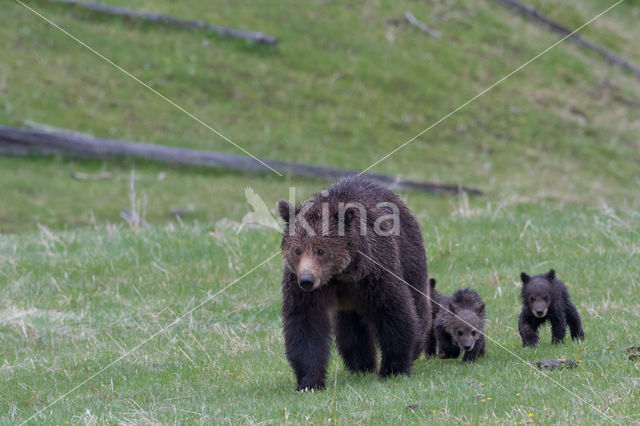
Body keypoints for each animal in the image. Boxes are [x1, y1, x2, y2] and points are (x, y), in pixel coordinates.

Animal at [276, 175, 430, 392]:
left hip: (409, 254)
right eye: (297, 250)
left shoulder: (376, 273)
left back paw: (415, 345)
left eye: (321, 250)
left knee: (417, 300)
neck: (340, 274)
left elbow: (394, 311)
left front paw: (394, 368)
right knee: (351, 327)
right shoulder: (304, 289)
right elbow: (305, 325)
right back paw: (360, 365)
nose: (307, 280)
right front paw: (309, 381)